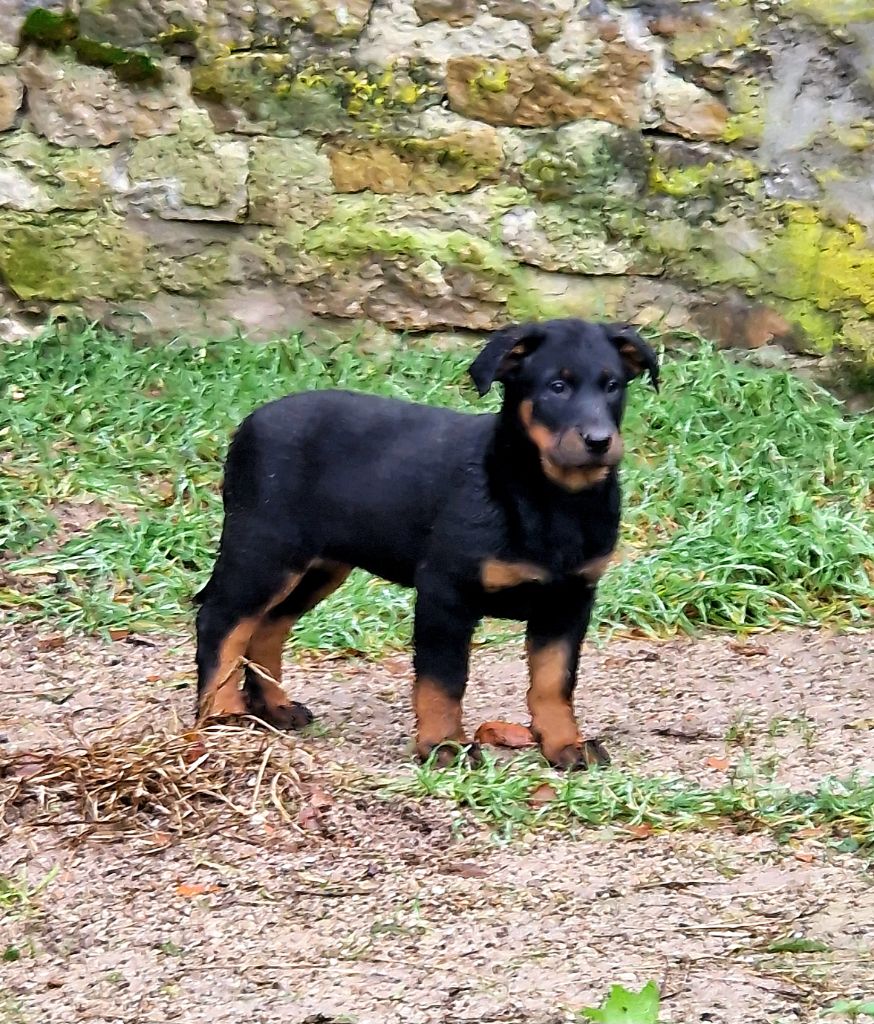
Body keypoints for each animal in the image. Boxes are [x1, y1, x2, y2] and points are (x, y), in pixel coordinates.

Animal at [196, 319, 654, 770]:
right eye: (556, 387)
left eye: (613, 386)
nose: (599, 441)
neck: (551, 499)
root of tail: (249, 424)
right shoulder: (446, 592)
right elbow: (443, 680)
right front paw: (444, 746)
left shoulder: (569, 600)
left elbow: (554, 682)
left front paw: (564, 744)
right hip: (265, 549)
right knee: (222, 621)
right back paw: (222, 713)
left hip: (318, 566)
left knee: (267, 627)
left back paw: (273, 707)